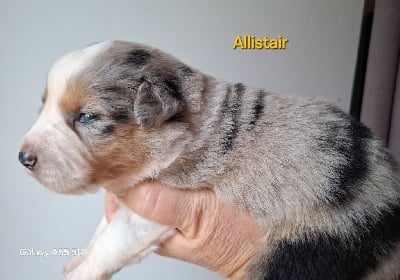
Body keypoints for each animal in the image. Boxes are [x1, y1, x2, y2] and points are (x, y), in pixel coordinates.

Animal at [18, 40, 400, 278]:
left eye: (85, 117)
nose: (23, 158)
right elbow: (103, 228)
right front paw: (79, 257)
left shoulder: (159, 207)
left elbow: (115, 238)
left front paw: (83, 270)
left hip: (313, 243)